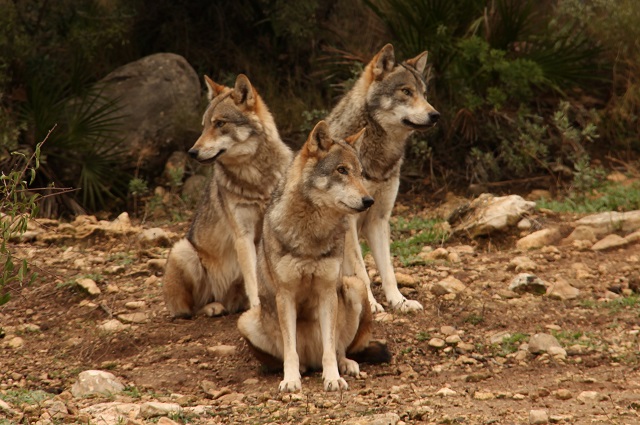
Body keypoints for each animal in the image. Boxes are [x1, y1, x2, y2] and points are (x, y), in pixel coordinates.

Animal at [162, 73, 292, 318]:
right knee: (191, 309)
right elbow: (253, 279)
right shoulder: (242, 235)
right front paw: (258, 308)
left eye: (219, 123)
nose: (192, 152)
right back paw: (213, 307)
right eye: (204, 126)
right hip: (183, 250)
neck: (256, 178)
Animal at [238, 121, 390, 392]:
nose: (369, 200)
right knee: (292, 357)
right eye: (342, 170)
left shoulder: (327, 292)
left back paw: (346, 365)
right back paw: (300, 370)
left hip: (354, 287)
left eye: (360, 173)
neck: (311, 235)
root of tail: (311, 360)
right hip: (246, 320)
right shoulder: (285, 296)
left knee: (339, 349)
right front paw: (290, 380)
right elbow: (290, 351)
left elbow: (330, 348)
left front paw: (333, 378)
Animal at [324, 44, 440, 312]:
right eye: (406, 92)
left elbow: (388, 270)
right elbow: (362, 271)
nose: (435, 115)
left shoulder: (378, 219)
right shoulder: (349, 223)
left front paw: (400, 301)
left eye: (424, 94)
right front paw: (371, 305)